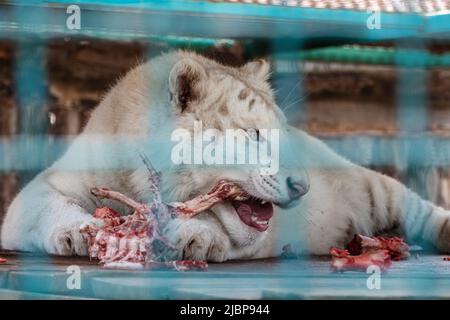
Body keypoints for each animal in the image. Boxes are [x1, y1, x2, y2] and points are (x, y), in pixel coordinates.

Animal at [0, 50, 450, 260]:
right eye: (253, 134)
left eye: (284, 134)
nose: (303, 186)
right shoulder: (37, 192)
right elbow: (47, 206)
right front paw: (78, 231)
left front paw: (193, 237)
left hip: (376, 186)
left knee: (421, 211)